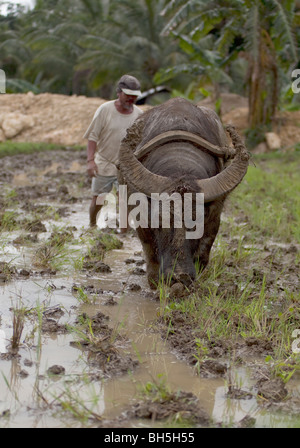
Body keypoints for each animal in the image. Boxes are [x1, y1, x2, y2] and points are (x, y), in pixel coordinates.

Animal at [118, 96, 250, 288]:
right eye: (161, 221)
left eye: (197, 221)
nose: (179, 275)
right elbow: (149, 248)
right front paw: (155, 281)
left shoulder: (215, 213)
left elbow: (204, 249)